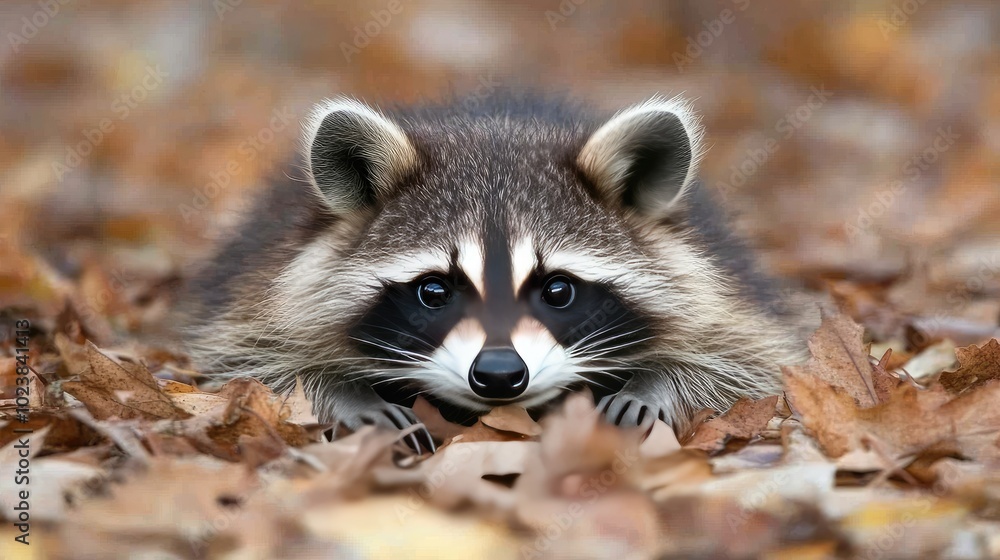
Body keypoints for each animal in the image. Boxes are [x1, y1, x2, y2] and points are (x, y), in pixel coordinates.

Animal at [185, 94, 803, 452]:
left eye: (558, 290)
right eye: (434, 290)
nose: (501, 374)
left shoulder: (725, 292)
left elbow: (742, 360)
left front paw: (658, 383)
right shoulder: (257, 288)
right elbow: (253, 364)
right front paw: (343, 392)